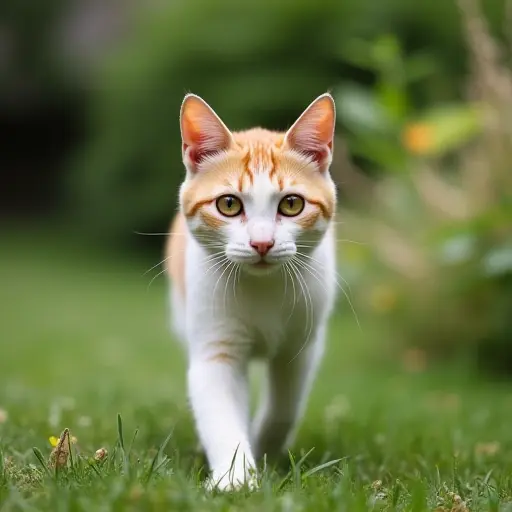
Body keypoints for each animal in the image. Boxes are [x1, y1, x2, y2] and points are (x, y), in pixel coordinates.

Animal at [166, 93, 338, 492]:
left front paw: (263, 449)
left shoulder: (302, 348)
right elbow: (221, 414)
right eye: (229, 204)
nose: (262, 243)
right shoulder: (215, 349)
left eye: (292, 204)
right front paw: (235, 479)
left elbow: (284, 409)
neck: (264, 289)